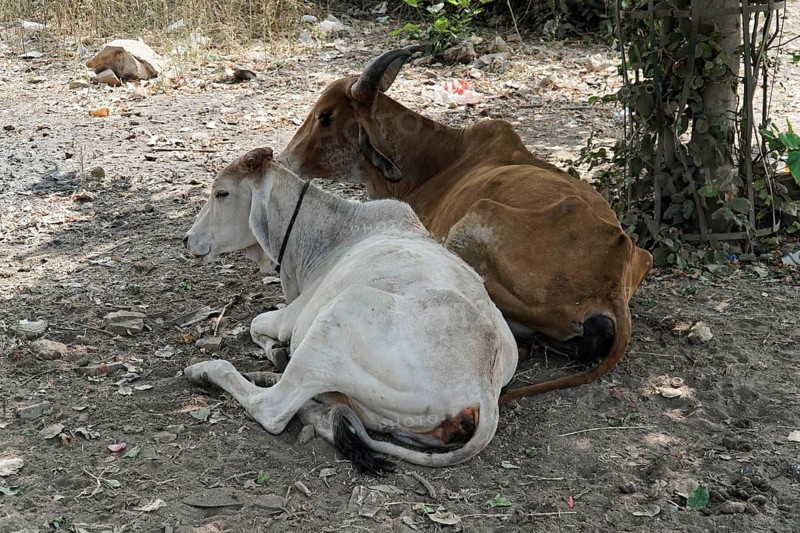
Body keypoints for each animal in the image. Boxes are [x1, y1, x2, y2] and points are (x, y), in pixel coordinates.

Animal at [182, 147, 518, 472]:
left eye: (222, 193)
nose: (187, 239)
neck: (327, 236)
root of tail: (483, 386)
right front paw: (275, 353)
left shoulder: (291, 318)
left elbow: (255, 324)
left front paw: (274, 350)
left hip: (339, 314)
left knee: (273, 408)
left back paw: (206, 371)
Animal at [279, 47, 653, 403]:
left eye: (326, 116)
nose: (285, 159)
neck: (435, 161)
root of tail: (613, 269)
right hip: (642, 257)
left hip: (474, 222)